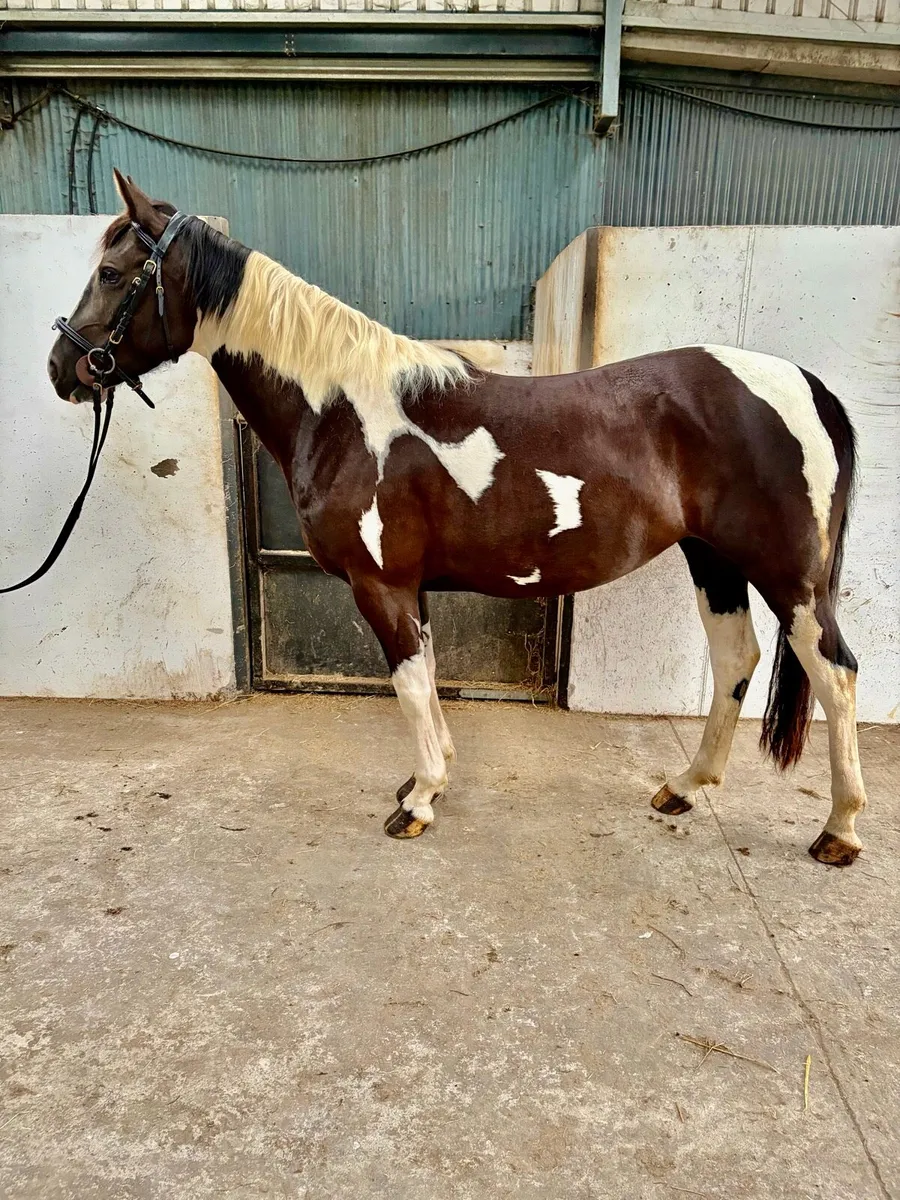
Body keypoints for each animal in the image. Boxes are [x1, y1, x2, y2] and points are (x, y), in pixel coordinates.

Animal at [47, 172, 867, 866]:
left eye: (113, 274)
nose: (63, 368)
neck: (342, 410)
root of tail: (808, 386)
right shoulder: (412, 586)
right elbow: (430, 678)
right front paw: (427, 780)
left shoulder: (380, 585)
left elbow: (409, 686)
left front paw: (419, 804)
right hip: (714, 559)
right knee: (736, 659)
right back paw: (684, 788)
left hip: (788, 576)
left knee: (834, 673)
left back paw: (839, 830)